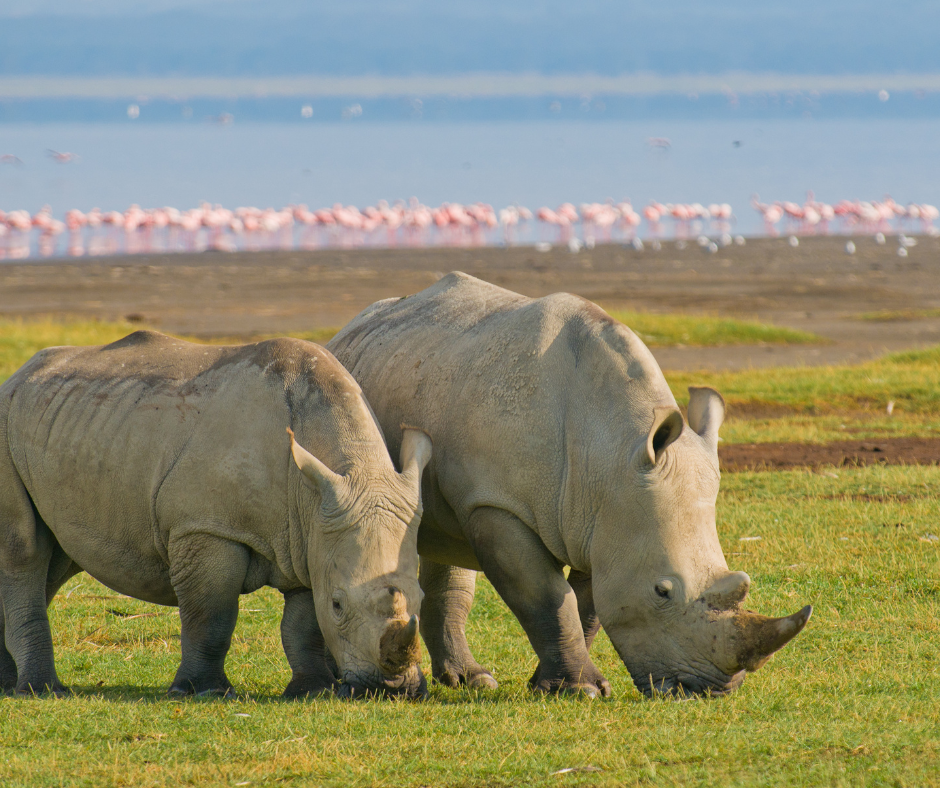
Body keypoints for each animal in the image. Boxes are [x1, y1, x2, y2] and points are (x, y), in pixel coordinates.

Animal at [0, 330, 431, 699]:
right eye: (340, 605)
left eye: (422, 598)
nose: (394, 689)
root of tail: (16, 377)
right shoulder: (207, 528)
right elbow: (212, 614)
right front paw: (202, 691)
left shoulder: (312, 535)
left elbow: (304, 624)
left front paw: (313, 691)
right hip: (8, 424)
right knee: (25, 553)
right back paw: (42, 690)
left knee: (55, 561)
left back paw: (9, 685)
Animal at [327, 272, 811, 698]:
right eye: (662, 592)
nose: (711, 690)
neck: (611, 448)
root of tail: (351, 326)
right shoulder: (499, 505)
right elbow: (547, 597)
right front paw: (580, 690)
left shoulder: (603, 515)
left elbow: (586, 604)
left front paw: (557, 684)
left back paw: (474, 681)